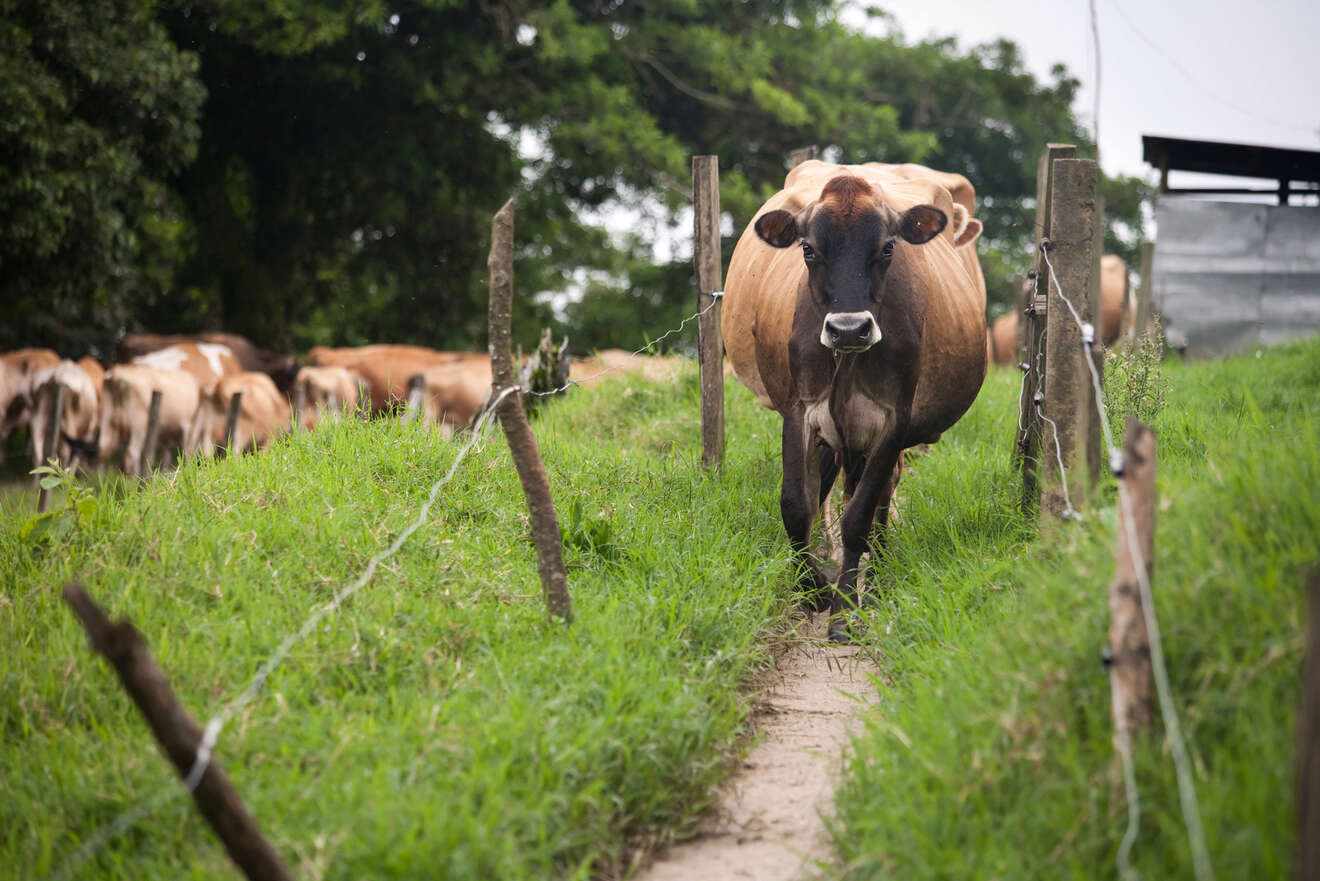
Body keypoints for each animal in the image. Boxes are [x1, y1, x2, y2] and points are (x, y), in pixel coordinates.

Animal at [723, 160, 992, 641]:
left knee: (879, 498)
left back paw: (878, 577)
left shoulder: (893, 421)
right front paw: (812, 589)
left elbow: (859, 516)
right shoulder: (798, 413)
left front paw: (845, 610)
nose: (849, 329)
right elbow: (796, 505)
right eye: (808, 249)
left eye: (887, 248)